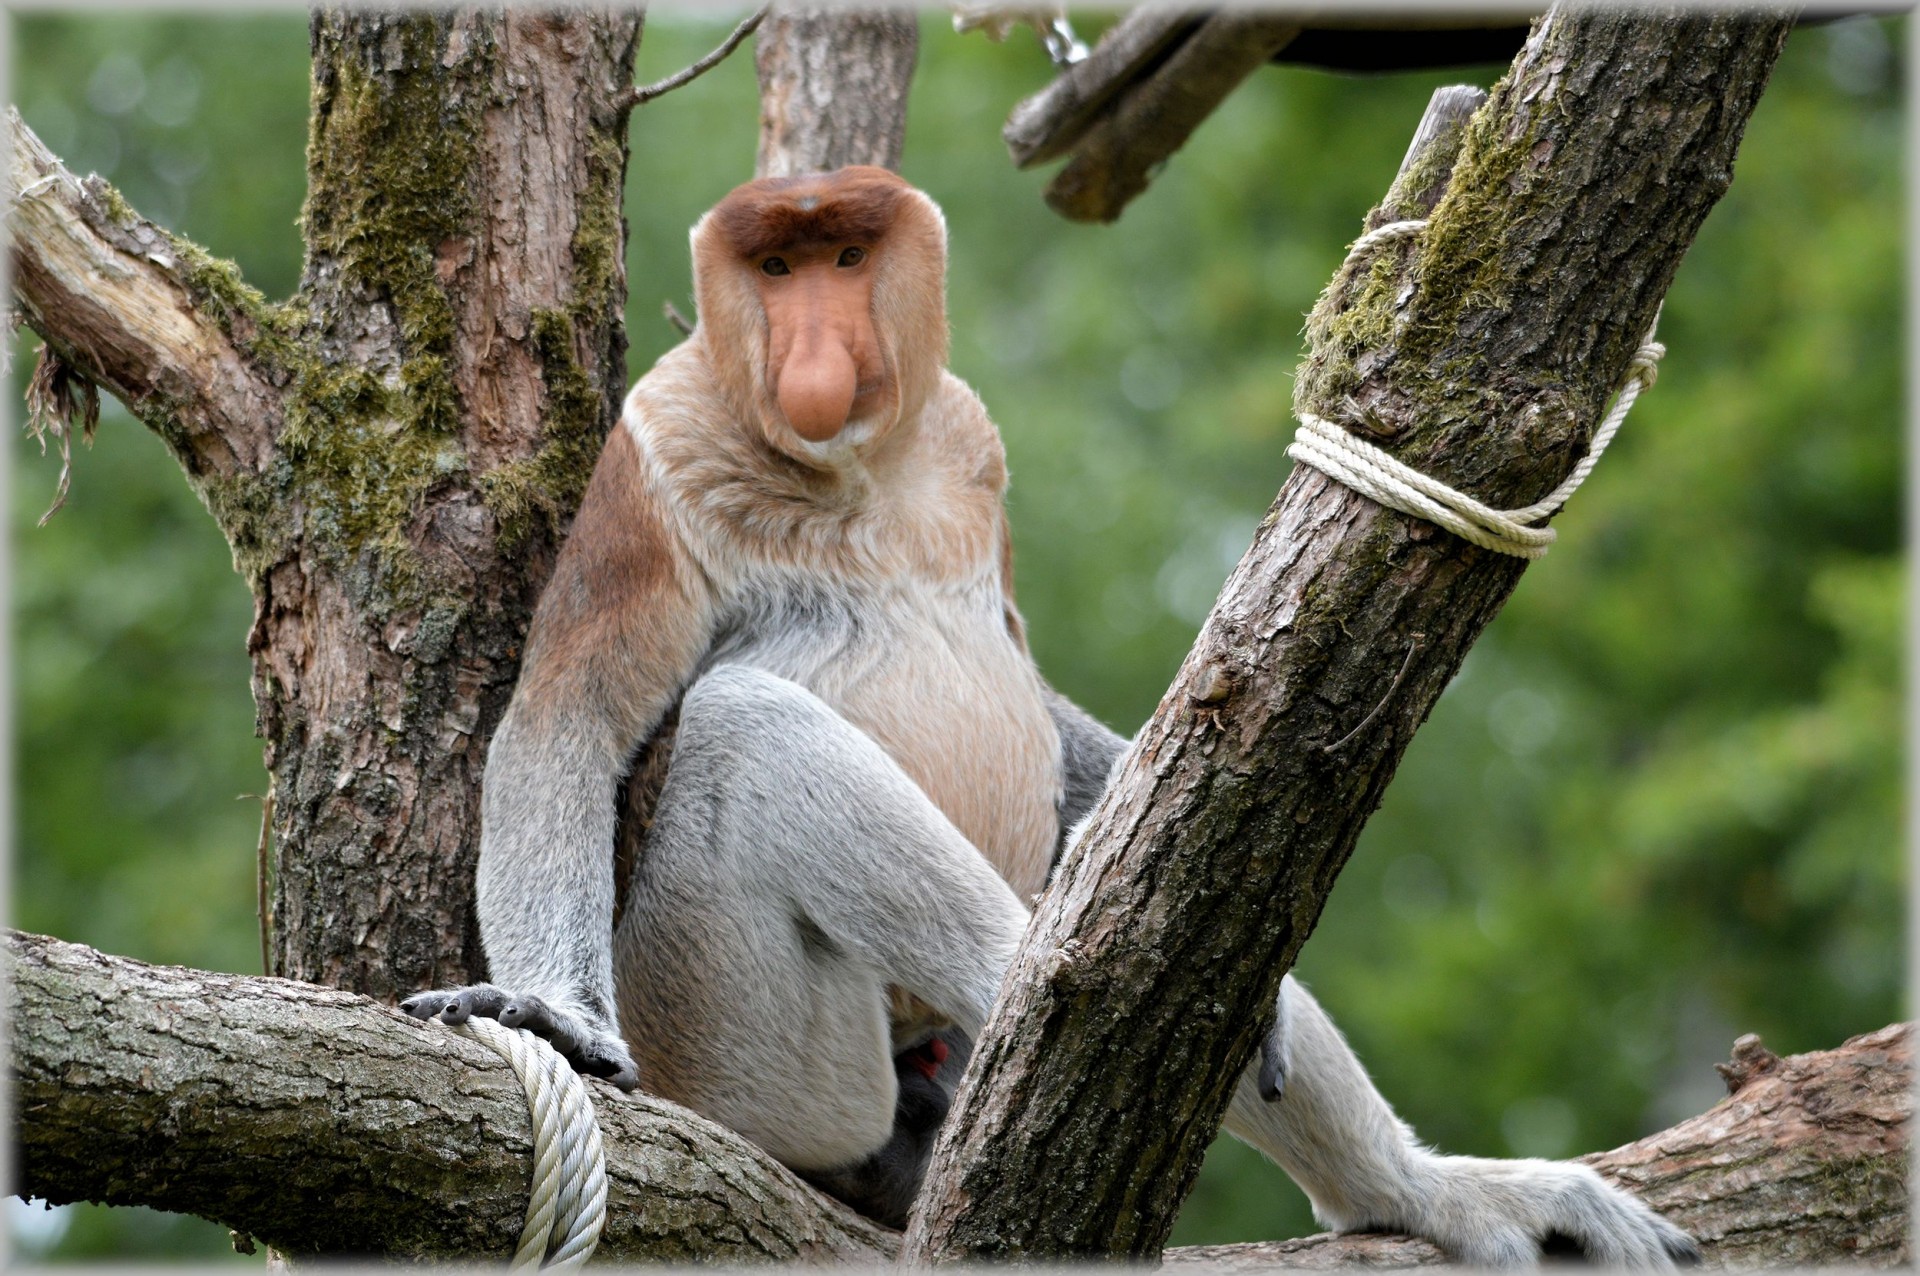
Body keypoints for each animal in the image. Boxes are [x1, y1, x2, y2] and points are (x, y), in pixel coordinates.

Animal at [405, 166, 1697, 1266]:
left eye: (843, 256)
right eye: (773, 270)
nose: (816, 348)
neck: (857, 470)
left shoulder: (971, 436)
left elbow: (1033, 687)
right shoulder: (658, 451)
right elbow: (566, 726)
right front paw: (548, 1016)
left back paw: (1419, 1185)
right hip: (735, 1049)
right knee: (742, 725)